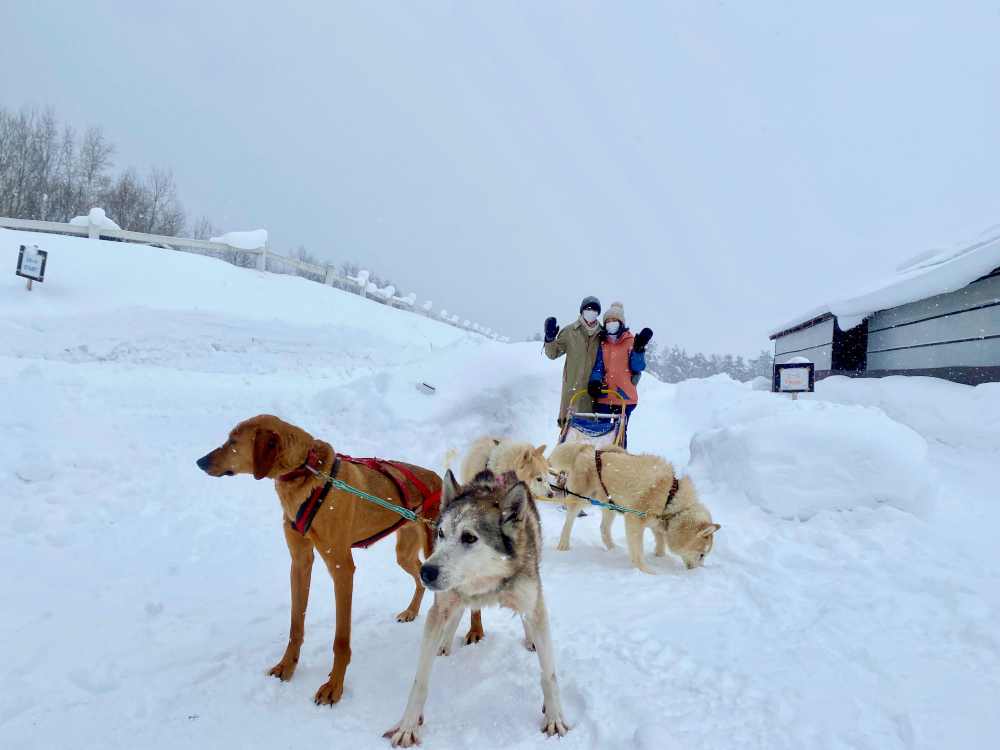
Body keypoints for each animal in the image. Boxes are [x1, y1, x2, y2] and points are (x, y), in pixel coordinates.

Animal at [195, 418, 484, 704]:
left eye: (233, 441)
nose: (200, 461)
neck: (307, 471)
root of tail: (439, 481)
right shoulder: (300, 562)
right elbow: (296, 626)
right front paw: (287, 666)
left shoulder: (342, 568)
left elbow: (341, 640)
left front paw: (334, 685)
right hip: (405, 554)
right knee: (418, 578)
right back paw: (411, 611)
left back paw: (476, 631)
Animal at [548, 444, 720, 572]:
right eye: (702, 555)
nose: (697, 571)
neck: (671, 497)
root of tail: (587, 449)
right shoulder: (635, 521)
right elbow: (638, 552)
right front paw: (646, 571)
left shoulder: (656, 523)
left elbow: (660, 543)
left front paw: (659, 556)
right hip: (581, 500)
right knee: (569, 521)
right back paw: (563, 544)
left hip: (610, 505)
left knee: (603, 529)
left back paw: (614, 549)